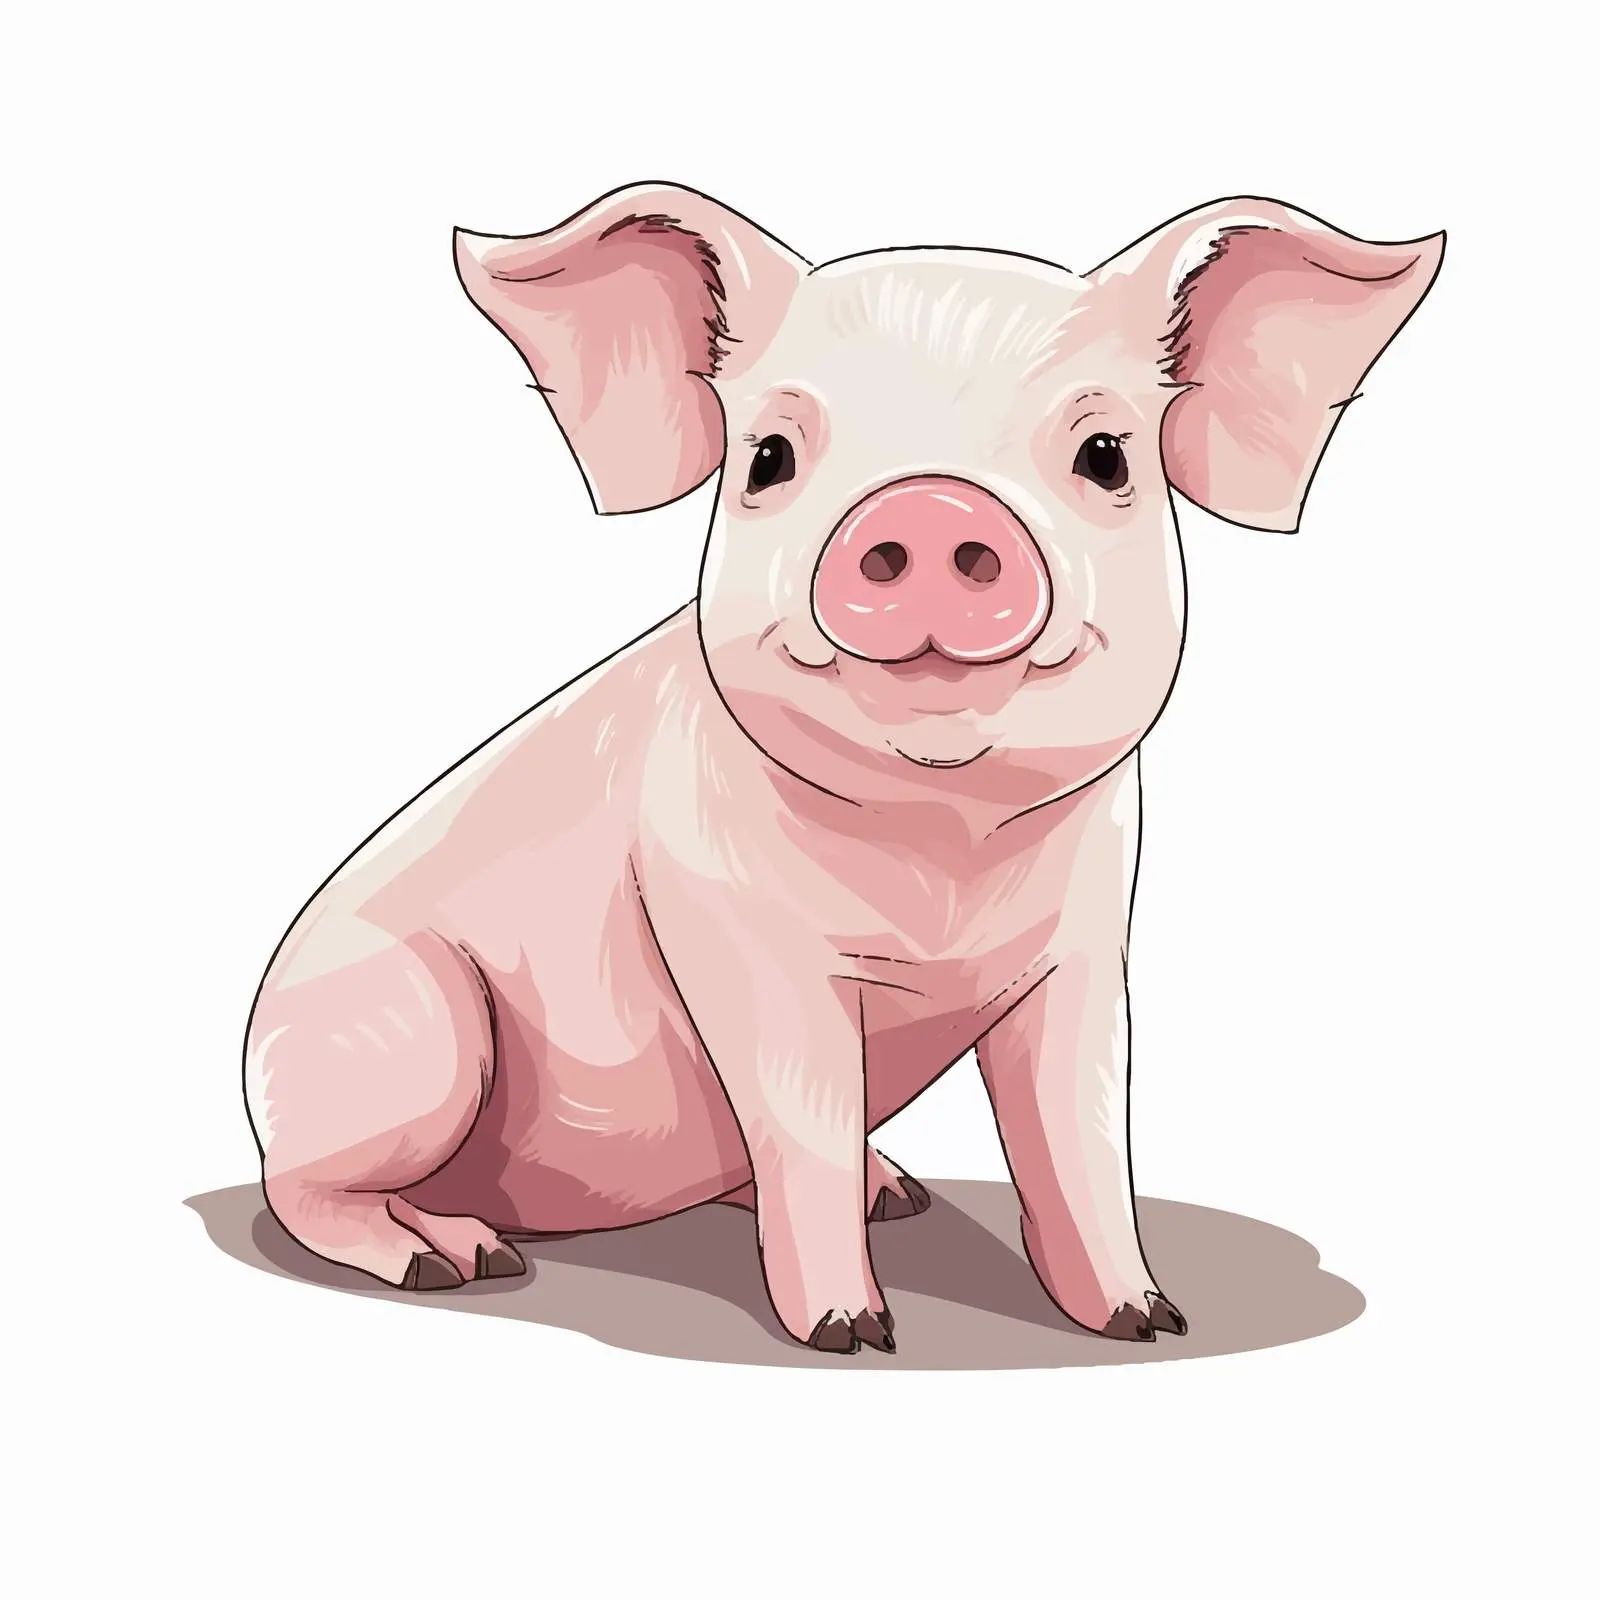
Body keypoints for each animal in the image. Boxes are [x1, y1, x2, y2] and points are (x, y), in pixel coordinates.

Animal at [242, 183, 1441, 1355]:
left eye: (1106, 455)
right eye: (767, 458)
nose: (930, 503)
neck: (942, 848)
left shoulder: (1090, 941)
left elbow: (1081, 1131)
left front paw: (1148, 1320)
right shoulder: (735, 929)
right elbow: (802, 1115)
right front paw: (851, 1335)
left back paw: (895, 1191)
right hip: (406, 1037)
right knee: (307, 1190)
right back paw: (456, 1259)